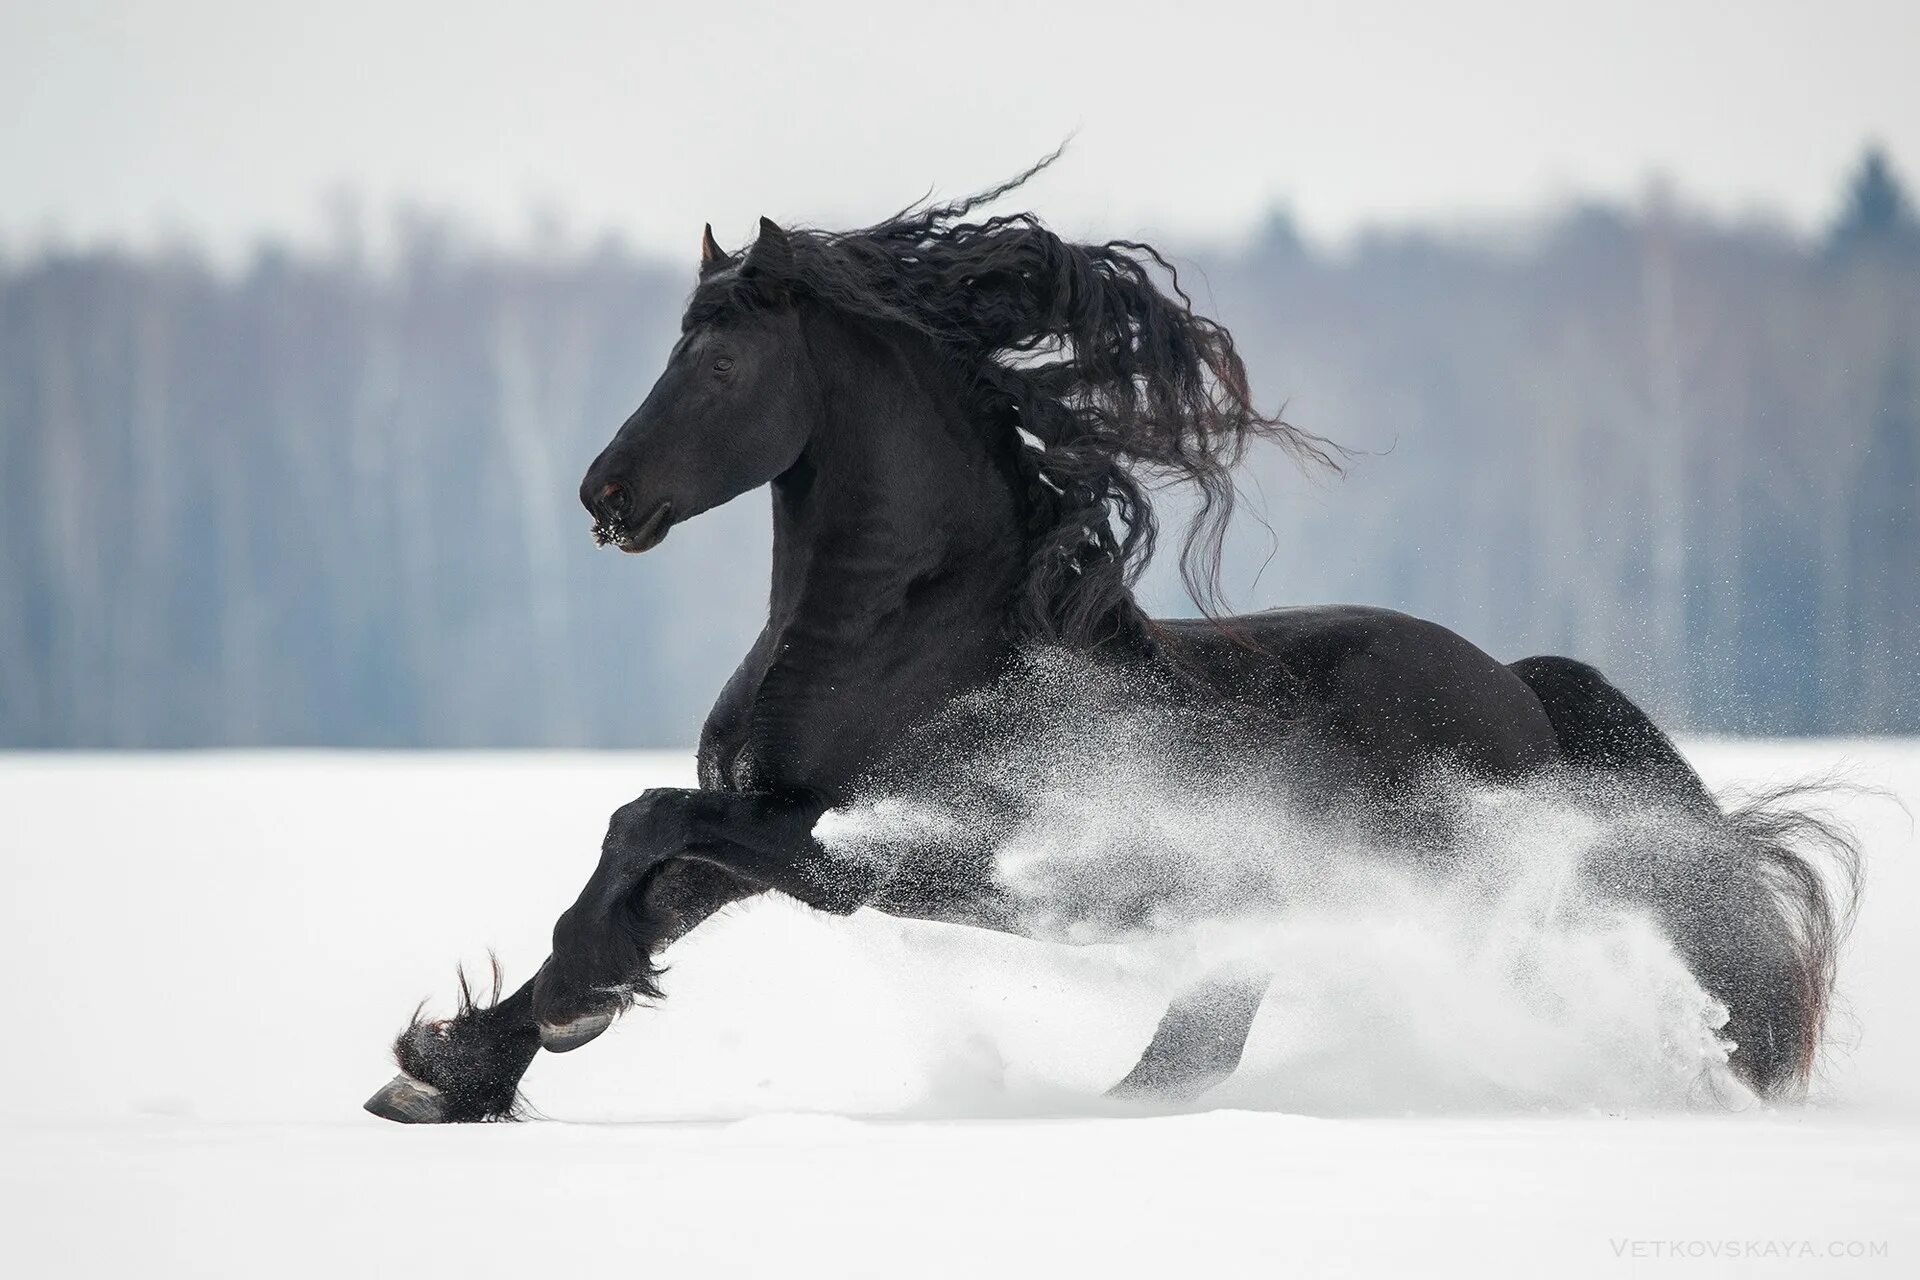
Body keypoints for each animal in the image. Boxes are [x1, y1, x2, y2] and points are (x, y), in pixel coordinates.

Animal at [362, 165, 1858, 1128]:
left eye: (719, 363)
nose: (605, 495)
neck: (897, 637)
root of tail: (1521, 691)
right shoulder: (771, 809)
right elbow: (645, 874)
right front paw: (462, 1065)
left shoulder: (895, 851)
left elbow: (644, 824)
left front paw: (548, 1014)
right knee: (1214, 1020)